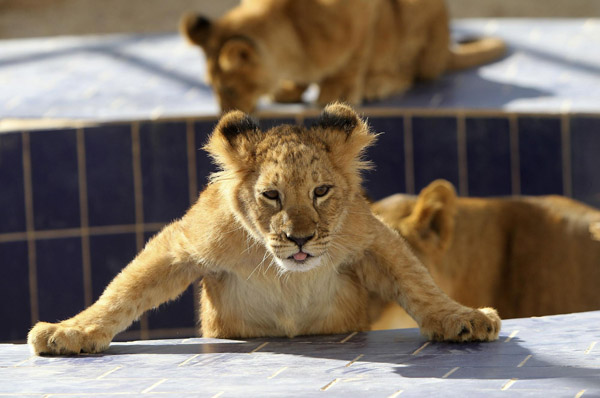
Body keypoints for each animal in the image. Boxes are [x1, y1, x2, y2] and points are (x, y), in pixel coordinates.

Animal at [28, 105, 500, 354]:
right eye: (271, 195)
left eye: (321, 191)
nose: (300, 239)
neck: (287, 274)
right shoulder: (187, 241)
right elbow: (126, 288)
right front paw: (70, 331)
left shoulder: (369, 237)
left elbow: (416, 280)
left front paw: (462, 318)